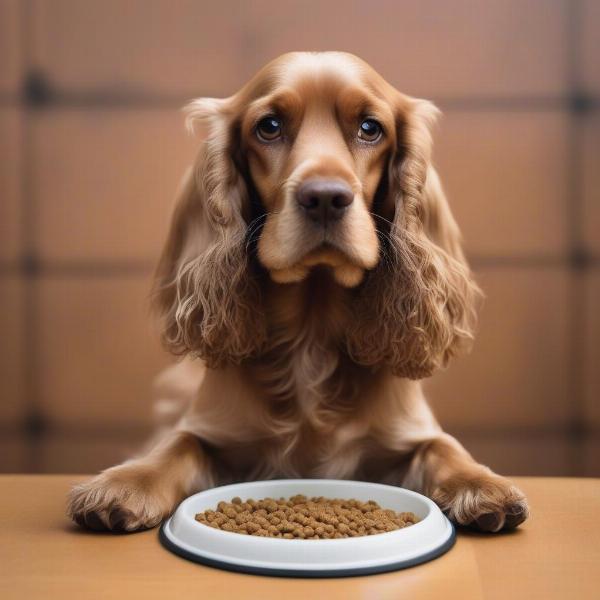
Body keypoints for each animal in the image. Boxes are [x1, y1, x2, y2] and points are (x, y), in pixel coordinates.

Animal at [67, 52, 528, 536]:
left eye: (370, 128)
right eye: (268, 126)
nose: (325, 197)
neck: (312, 330)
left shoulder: (410, 432)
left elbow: (443, 447)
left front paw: (482, 485)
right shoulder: (210, 429)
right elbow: (178, 445)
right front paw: (124, 483)